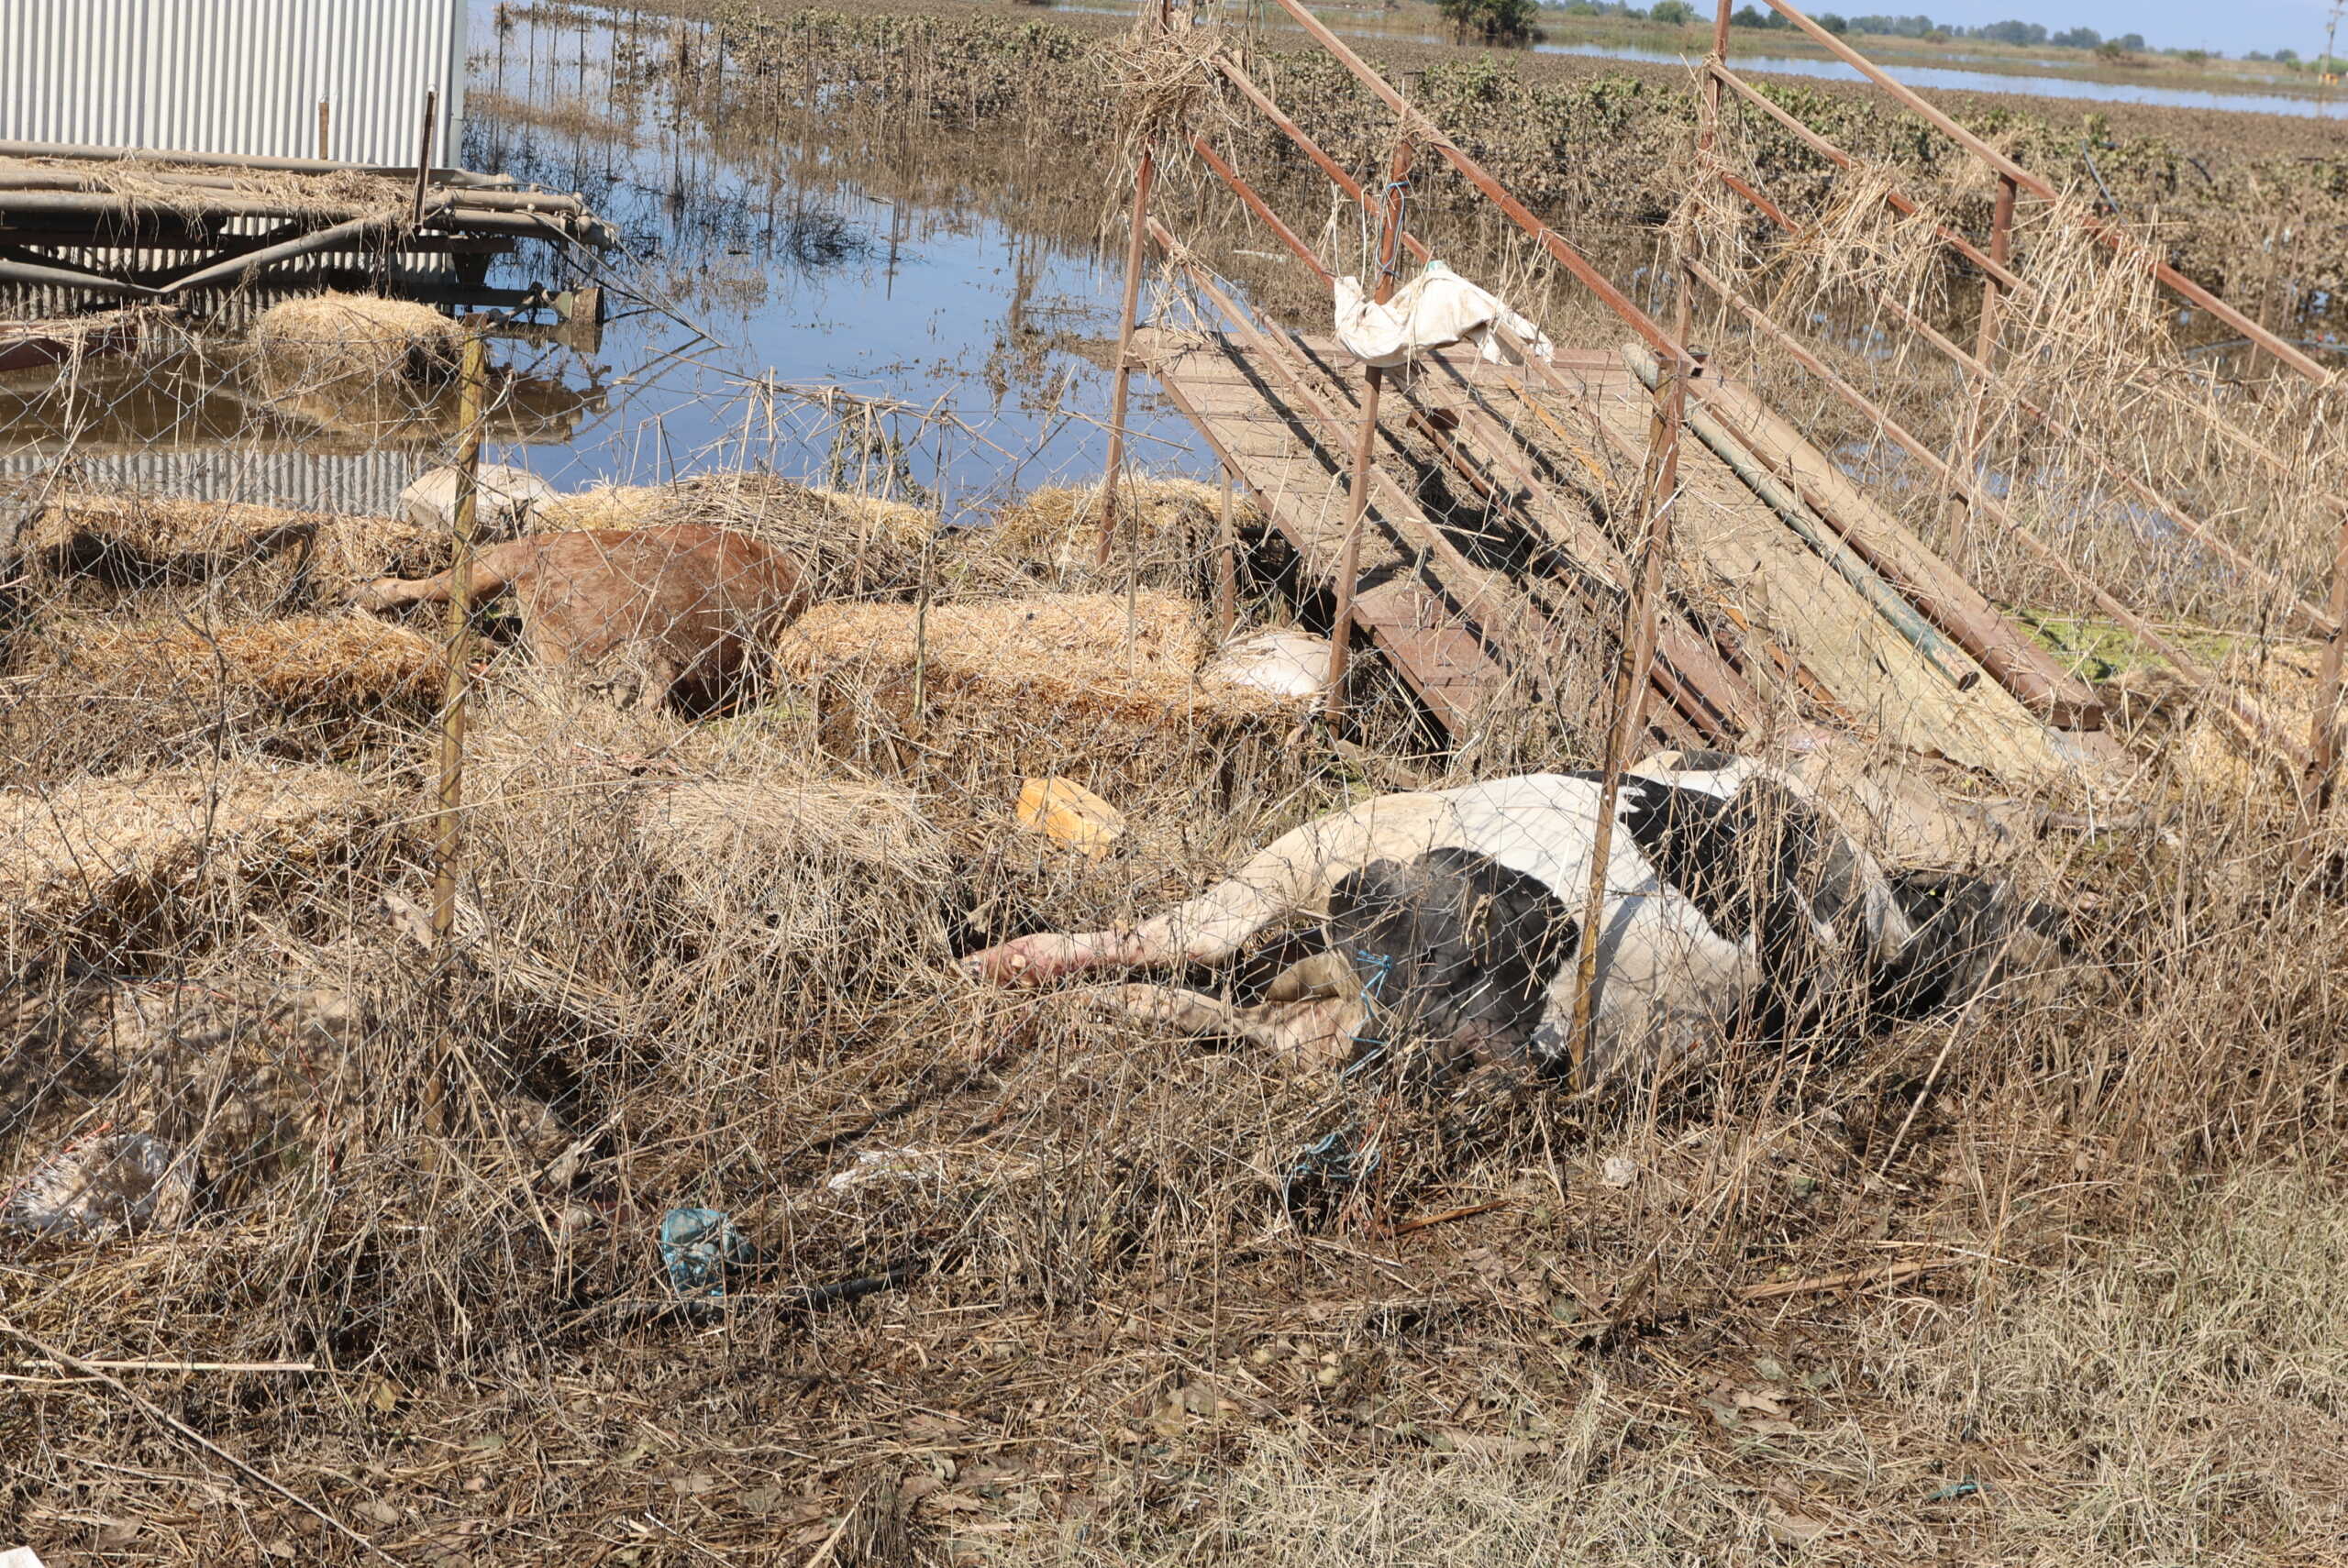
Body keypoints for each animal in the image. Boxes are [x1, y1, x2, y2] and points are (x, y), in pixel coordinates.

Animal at [962, 751, 2066, 1084]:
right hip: (1341, 845)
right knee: (1191, 947)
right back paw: (1003, 980)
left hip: (1335, 866)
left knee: (1199, 966)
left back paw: (1007, 989)